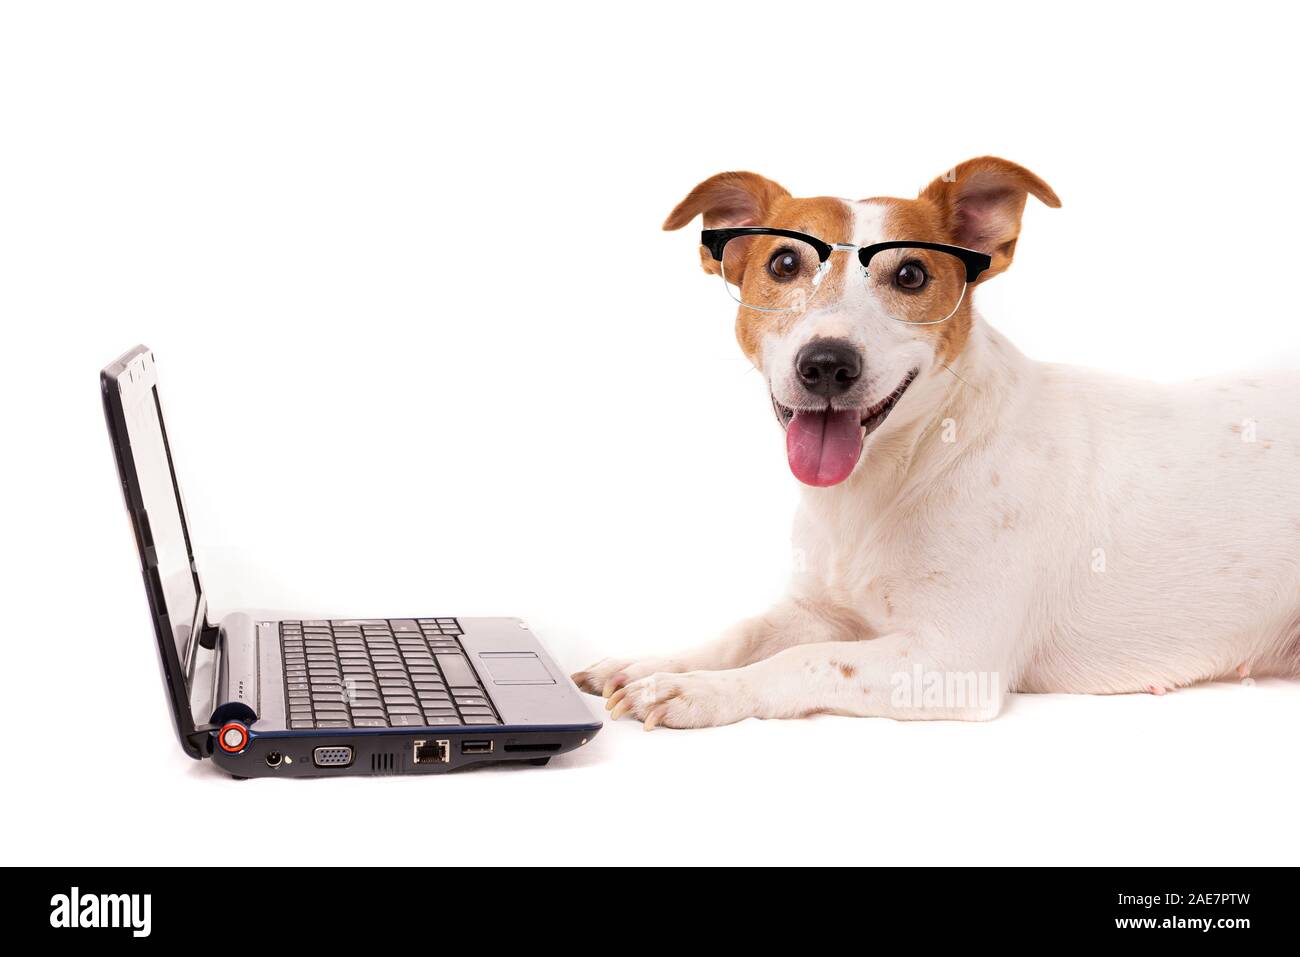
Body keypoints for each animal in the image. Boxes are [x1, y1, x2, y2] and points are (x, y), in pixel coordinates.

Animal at [574, 155, 1300, 722]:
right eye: (782, 262)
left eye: (912, 276)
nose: (827, 363)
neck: (889, 480)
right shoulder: (822, 609)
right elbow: (746, 630)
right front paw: (651, 662)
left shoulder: (953, 655)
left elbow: (808, 660)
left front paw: (698, 691)